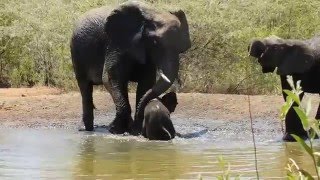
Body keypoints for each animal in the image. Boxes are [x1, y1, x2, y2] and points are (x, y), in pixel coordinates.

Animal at [70, 1, 190, 134]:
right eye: (155, 43)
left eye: (181, 49)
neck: (153, 14)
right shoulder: (115, 43)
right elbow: (111, 77)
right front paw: (116, 130)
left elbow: (146, 82)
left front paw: (135, 130)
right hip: (77, 54)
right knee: (85, 87)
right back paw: (86, 129)